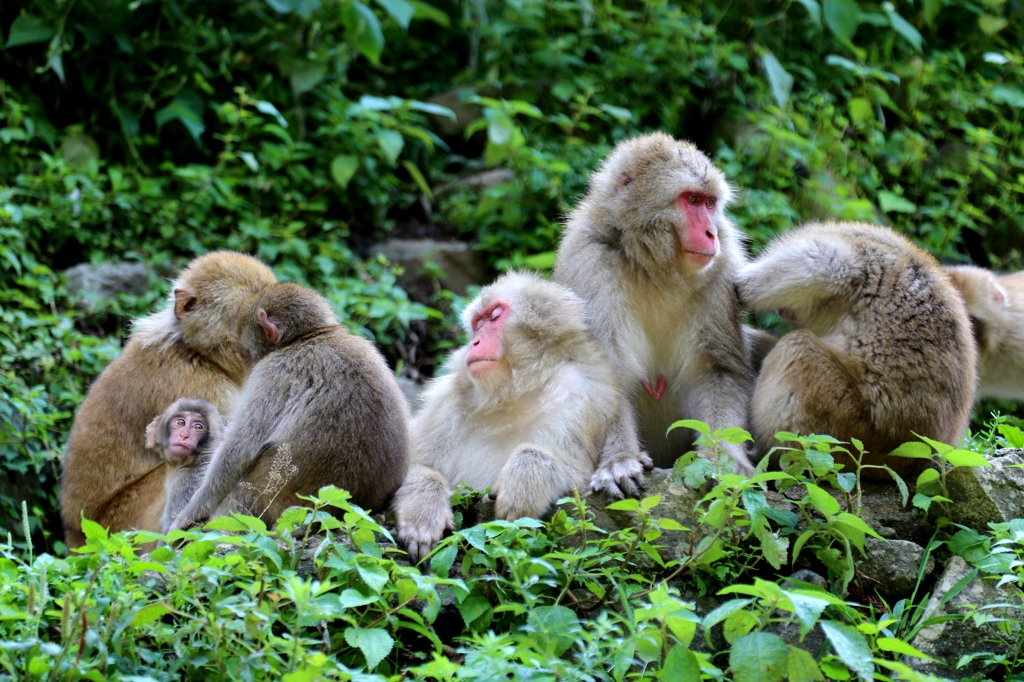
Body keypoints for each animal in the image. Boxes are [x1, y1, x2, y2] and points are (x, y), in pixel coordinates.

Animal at [166, 278, 407, 528]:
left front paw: (189, 514)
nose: (245, 369)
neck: (309, 337)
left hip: (273, 497)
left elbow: (237, 452)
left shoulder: (272, 372)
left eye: (244, 352)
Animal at [737, 220, 974, 475]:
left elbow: (821, 261)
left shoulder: (847, 260)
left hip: (846, 435)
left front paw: (743, 288)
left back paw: (766, 452)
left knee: (798, 348)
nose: (782, 311)